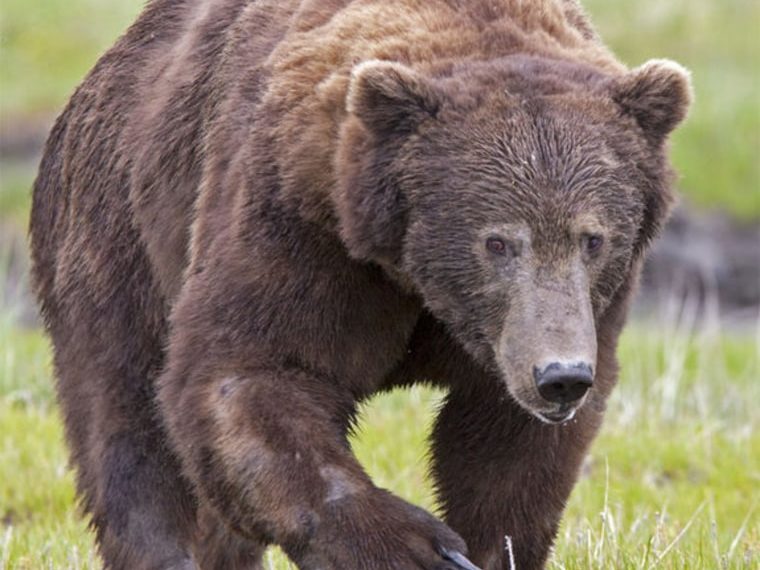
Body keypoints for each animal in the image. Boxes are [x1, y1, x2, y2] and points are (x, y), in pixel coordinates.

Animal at [29, 0, 692, 568]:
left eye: (593, 238)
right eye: (497, 241)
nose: (560, 377)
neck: (412, 274)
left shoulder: (565, 320)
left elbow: (507, 451)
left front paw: (487, 546)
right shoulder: (297, 225)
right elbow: (249, 373)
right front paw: (417, 548)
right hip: (116, 232)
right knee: (125, 417)